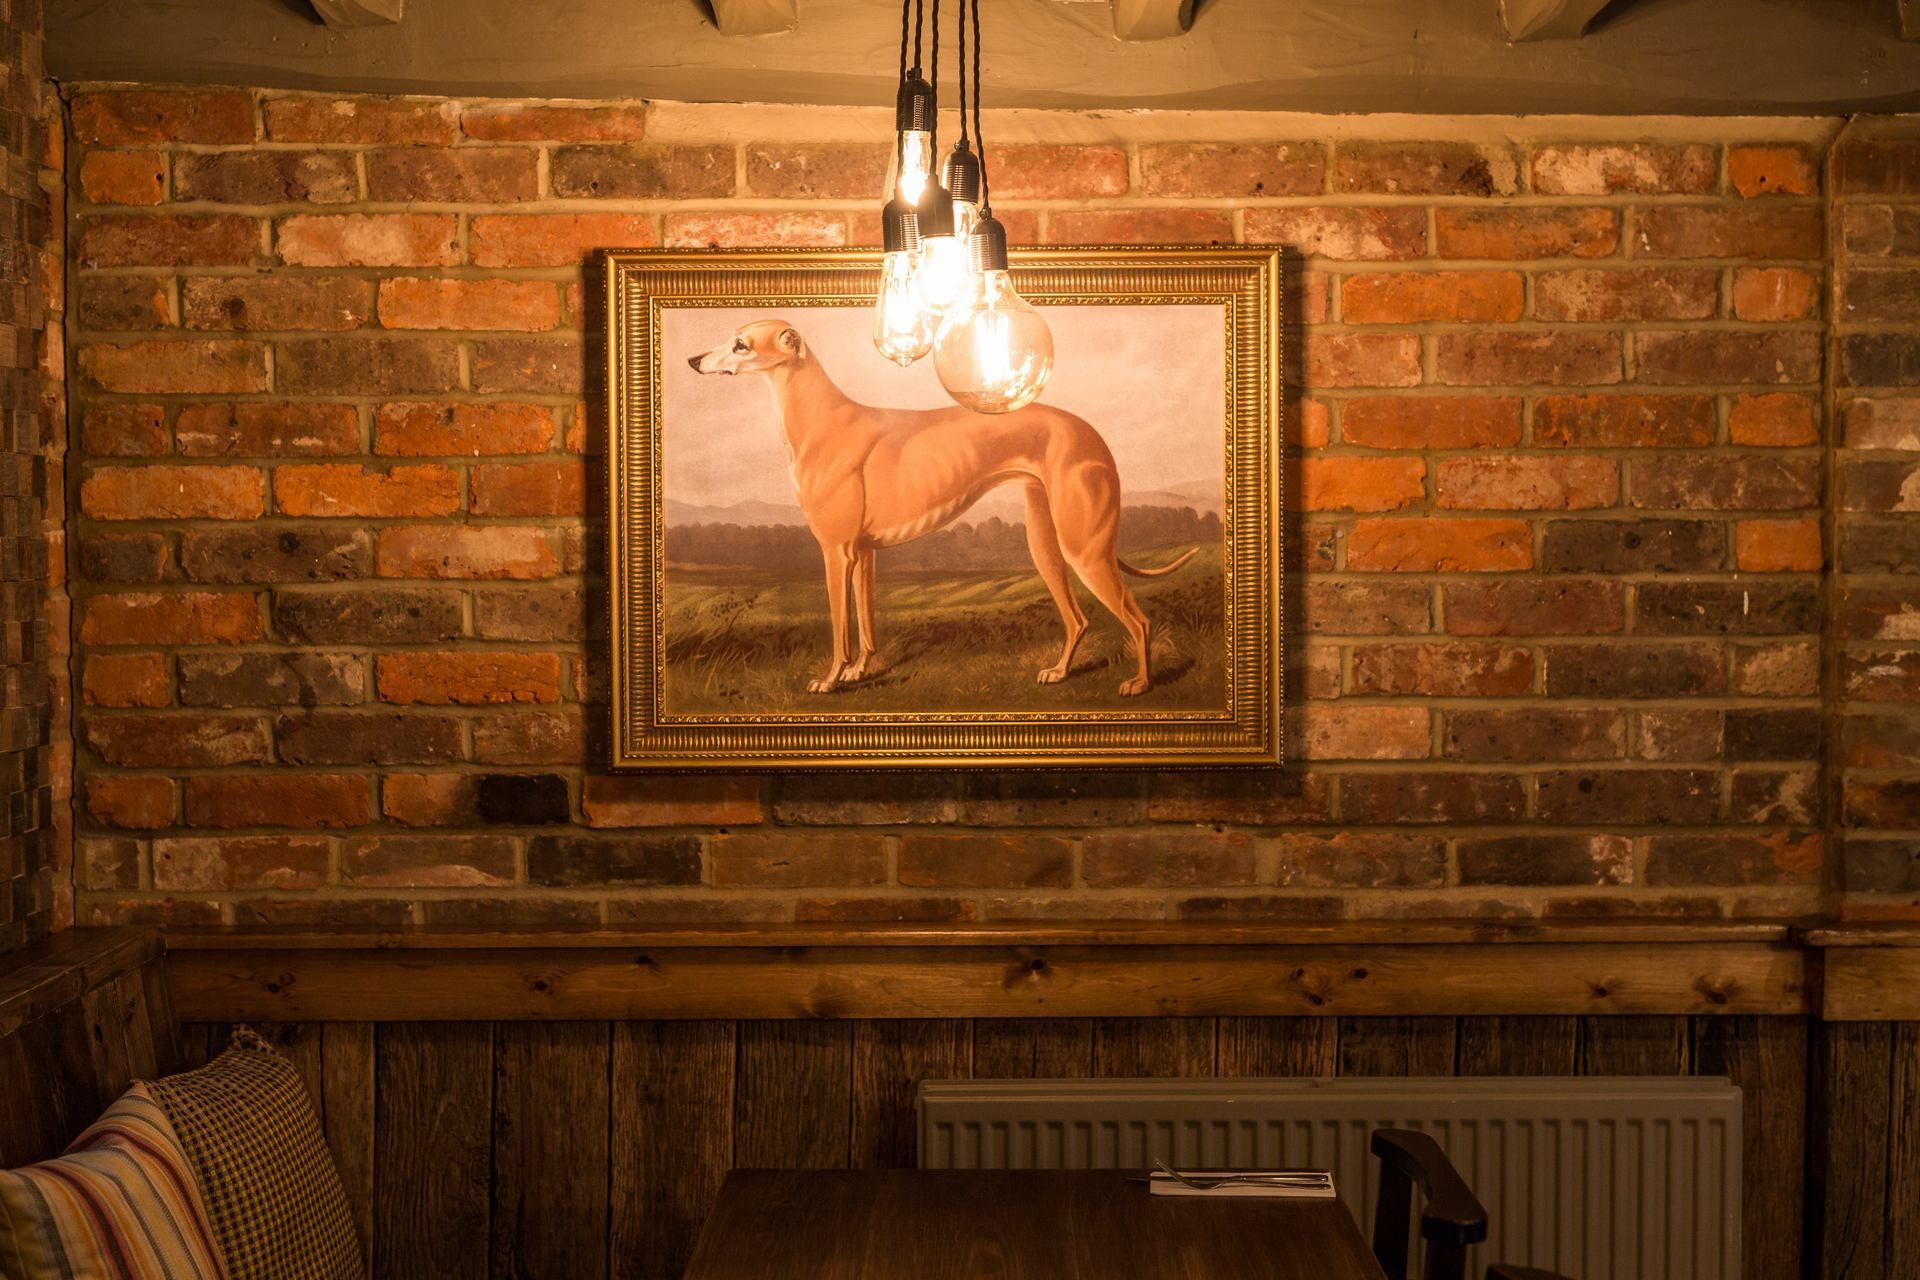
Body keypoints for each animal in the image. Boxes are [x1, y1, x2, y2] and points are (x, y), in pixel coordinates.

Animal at [686, 319, 1196, 696]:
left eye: (740, 344)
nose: (692, 360)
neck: (821, 420)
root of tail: (1092, 433)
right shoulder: (864, 553)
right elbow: (866, 623)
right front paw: (860, 672)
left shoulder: (835, 552)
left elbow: (840, 630)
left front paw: (831, 680)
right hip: (1046, 544)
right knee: (1079, 618)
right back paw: (1060, 672)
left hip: (1084, 548)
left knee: (1140, 619)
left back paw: (1141, 683)